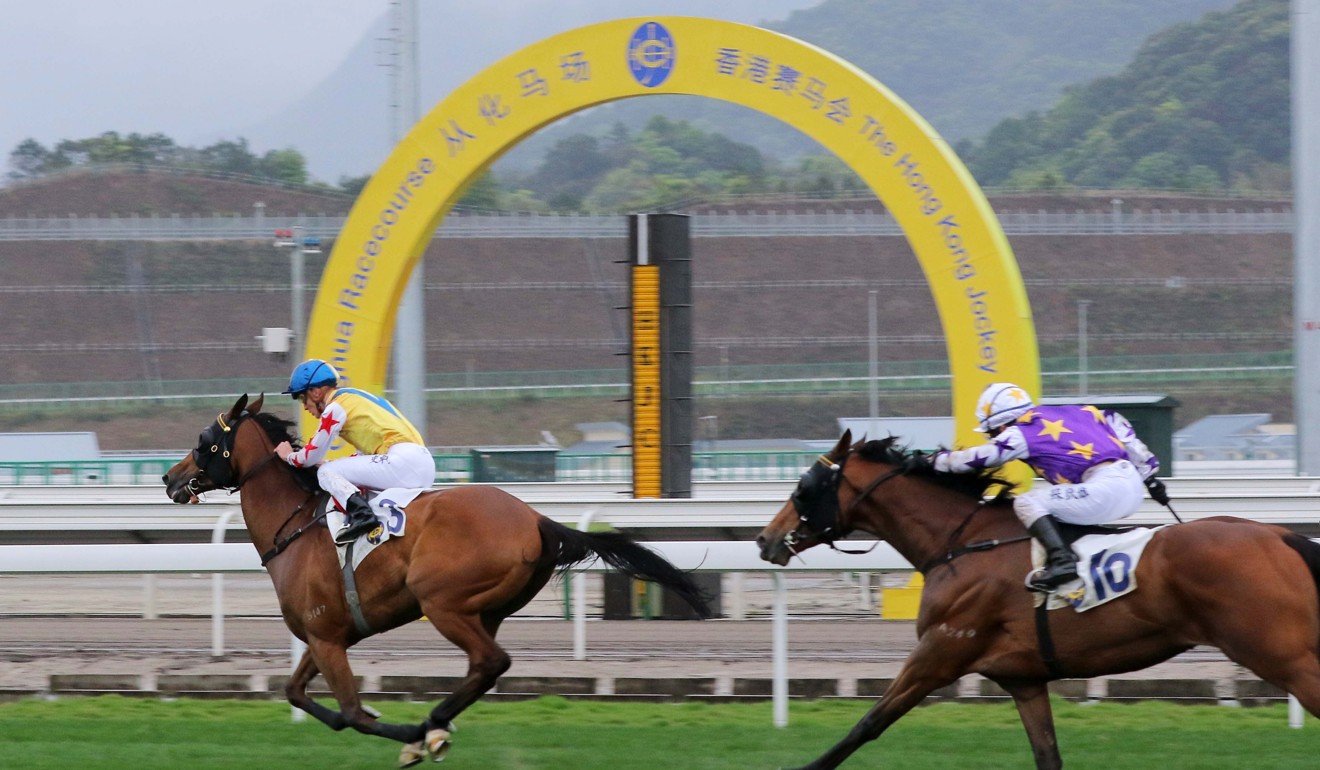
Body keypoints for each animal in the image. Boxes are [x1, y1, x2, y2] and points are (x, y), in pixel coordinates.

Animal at [162, 398, 712, 766]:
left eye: (204, 441)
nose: (170, 478)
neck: (293, 526)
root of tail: (536, 519)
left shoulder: (326, 638)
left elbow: (354, 713)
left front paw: (410, 735)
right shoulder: (324, 635)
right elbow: (298, 694)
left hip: (442, 602)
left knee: (490, 662)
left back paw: (431, 726)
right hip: (486, 609)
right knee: (482, 669)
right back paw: (439, 722)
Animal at [760, 430, 1320, 766]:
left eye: (804, 485)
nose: (767, 539)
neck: (962, 542)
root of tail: (1281, 536)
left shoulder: (939, 653)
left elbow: (866, 725)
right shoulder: (1023, 680)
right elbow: (1047, 754)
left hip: (1282, 656)